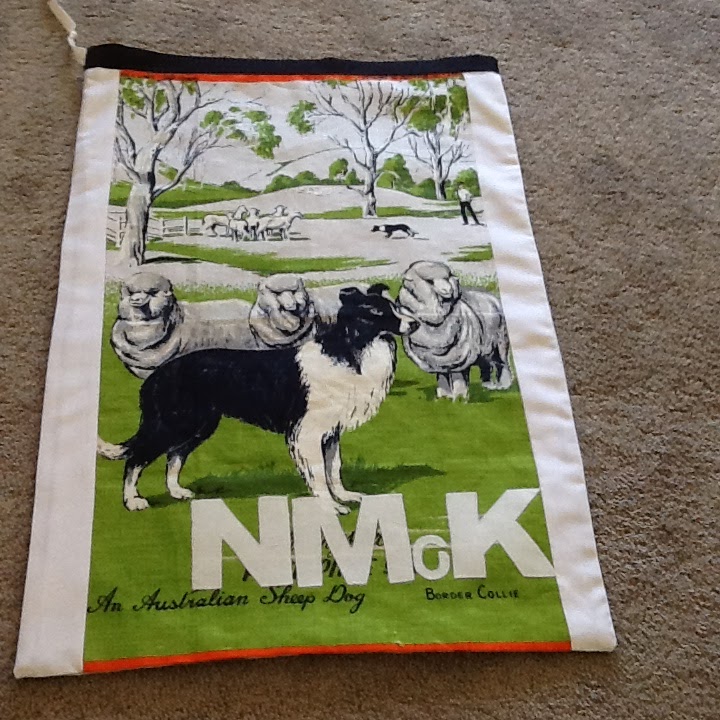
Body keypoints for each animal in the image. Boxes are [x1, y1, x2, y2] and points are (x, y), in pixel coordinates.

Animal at [97, 285, 416, 514]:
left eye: (394, 306)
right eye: (376, 310)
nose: (414, 324)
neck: (348, 351)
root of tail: (155, 377)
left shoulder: (331, 431)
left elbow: (333, 469)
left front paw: (346, 496)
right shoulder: (307, 432)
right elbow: (318, 473)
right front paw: (331, 506)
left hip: (198, 424)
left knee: (174, 455)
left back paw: (177, 491)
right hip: (172, 423)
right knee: (136, 459)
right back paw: (133, 501)